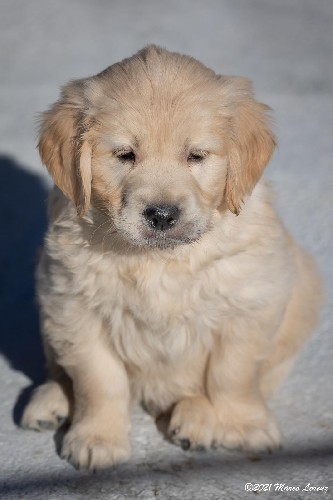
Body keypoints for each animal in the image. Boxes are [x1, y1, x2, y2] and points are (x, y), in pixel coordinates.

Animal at [21, 45, 322, 470]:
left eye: (195, 156)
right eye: (125, 155)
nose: (162, 215)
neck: (159, 261)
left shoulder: (251, 300)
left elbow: (235, 374)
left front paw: (243, 424)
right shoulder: (75, 305)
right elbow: (99, 380)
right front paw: (97, 437)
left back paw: (195, 419)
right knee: (59, 370)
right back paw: (51, 400)